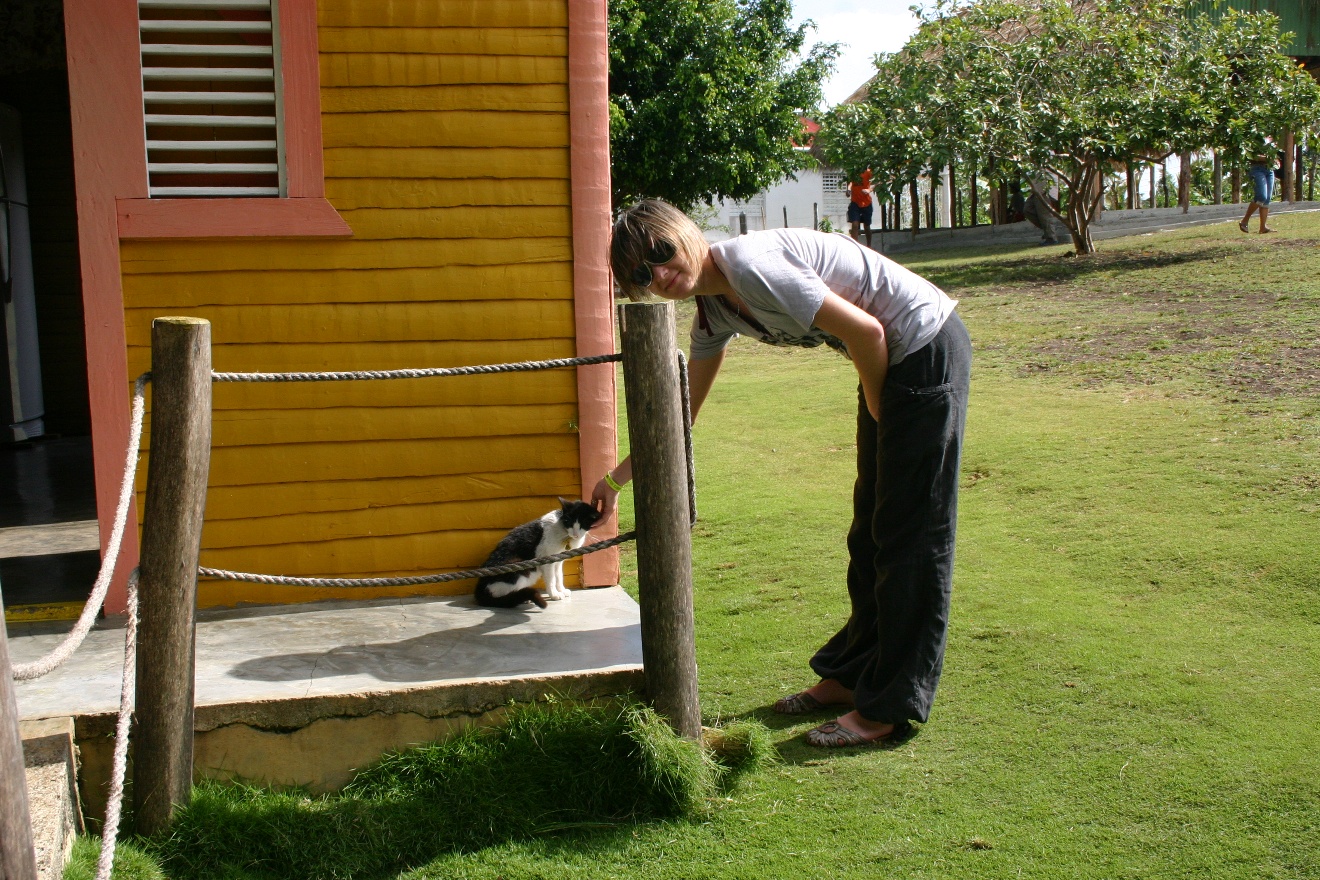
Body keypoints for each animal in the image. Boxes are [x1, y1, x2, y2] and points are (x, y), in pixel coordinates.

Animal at [475, 498, 604, 609]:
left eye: (584, 523)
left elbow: (559, 576)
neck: (564, 532)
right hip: (521, 568)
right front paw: (554, 594)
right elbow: (552, 578)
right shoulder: (547, 560)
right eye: (569, 521)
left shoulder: (558, 560)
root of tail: (480, 587)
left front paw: (561, 590)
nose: (575, 534)